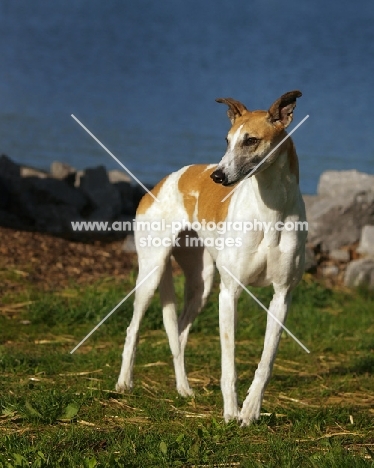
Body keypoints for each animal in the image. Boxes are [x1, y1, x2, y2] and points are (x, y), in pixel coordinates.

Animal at [116, 90, 306, 424]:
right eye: (227, 140)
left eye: (250, 140)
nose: (217, 175)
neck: (271, 211)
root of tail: (165, 180)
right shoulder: (229, 293)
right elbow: (228, 365)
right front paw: (230, 413)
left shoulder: (283, 296)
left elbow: (266, 361)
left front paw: (250, 411)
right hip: (152, 272)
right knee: (133, 328)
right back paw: (124, 382)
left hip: (201, 284)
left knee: (177, 335)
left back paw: (183, 388)